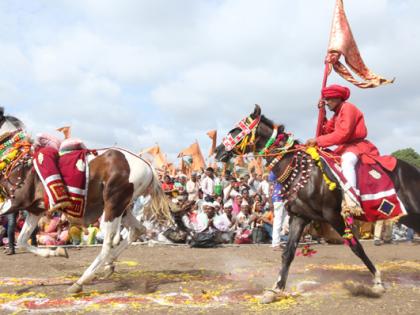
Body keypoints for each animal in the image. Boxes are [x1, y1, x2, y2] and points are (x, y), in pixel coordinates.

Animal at [0, 128, 171, 294]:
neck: (20, 167)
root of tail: (148, 167)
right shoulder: (35, 210)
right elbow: (22, 240)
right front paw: (56, 252)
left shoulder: (14, 203)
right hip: (122, 208)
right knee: (137, 229)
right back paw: (109, 264)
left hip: (113, 205)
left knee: (108, 242)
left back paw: (81, 282)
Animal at [217, 105, 420, 304]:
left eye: (237, 129)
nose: (219, 150)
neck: (299, 170)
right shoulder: (299, 217)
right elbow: (288, 253)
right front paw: (275, 290)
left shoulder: (333, 215)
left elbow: (356, 246)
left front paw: (377, 281)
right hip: (408, 215)